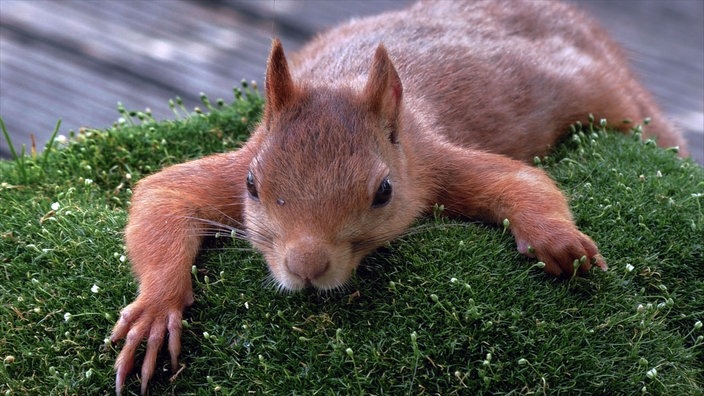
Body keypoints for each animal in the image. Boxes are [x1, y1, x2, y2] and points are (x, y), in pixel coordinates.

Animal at [110, 0, 688, 392]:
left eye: (384, 191)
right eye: (253, 186)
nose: (305, 267)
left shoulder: (431, 160)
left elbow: (523, 183)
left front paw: (557, 239)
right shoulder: (234, 165)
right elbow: (163, 195)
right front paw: (157, 309)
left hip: (609, 97)